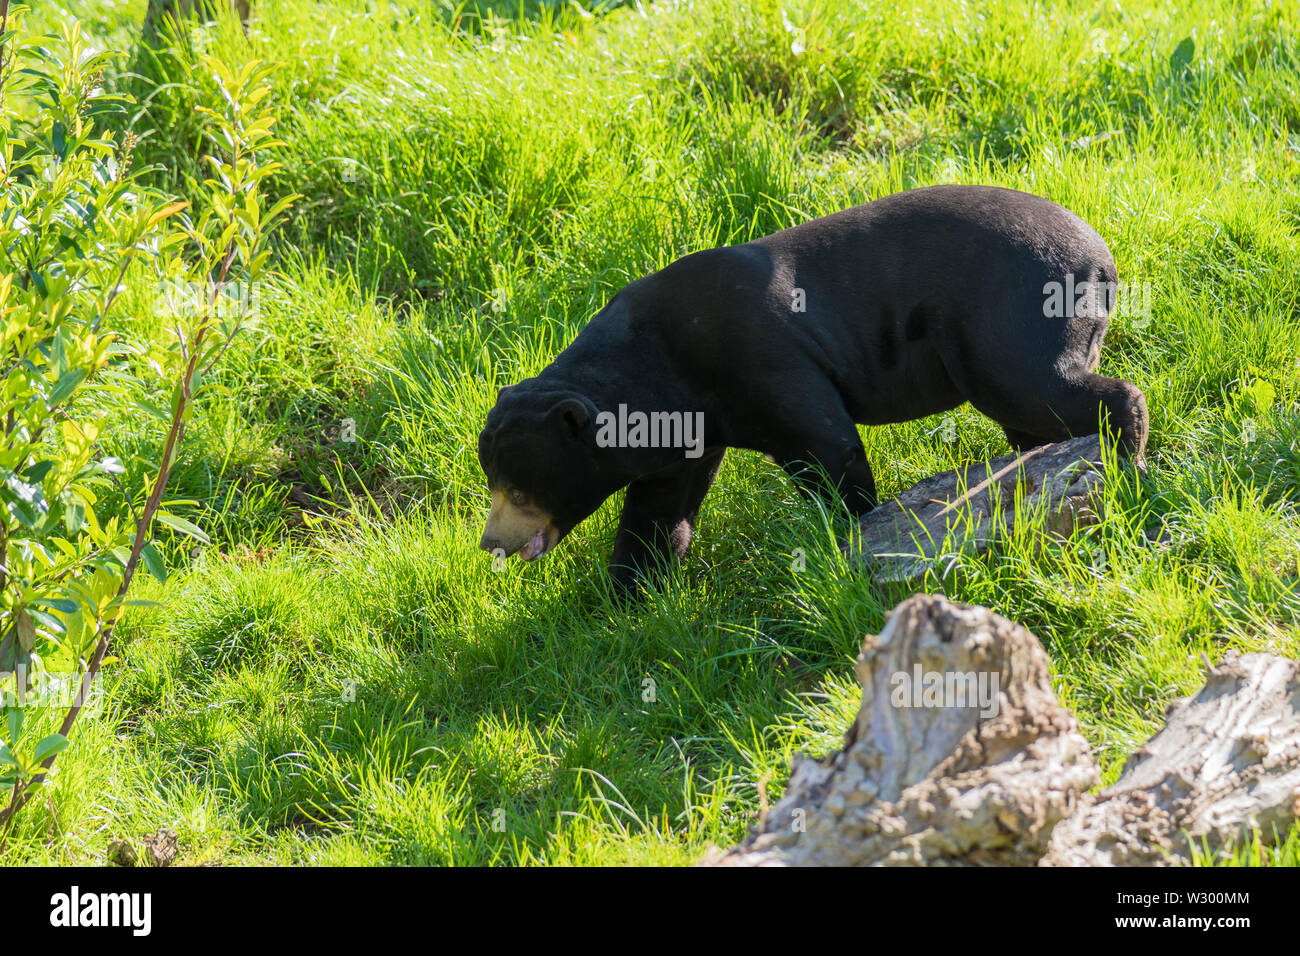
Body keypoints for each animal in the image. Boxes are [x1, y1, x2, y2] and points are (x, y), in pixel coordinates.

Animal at [478, 183, 1149, 590]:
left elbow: (826, 444)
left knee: (1040, 387)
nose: (490, 544)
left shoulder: (758, 355)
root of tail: (1102, 257)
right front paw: (626, 596)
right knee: (1032, 416)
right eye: (495, 482)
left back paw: (1127, 451)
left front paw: (852, 528)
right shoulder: (686, 426)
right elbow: (656, 509)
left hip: (1010, 313)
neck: (657, 369)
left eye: (519, 487)